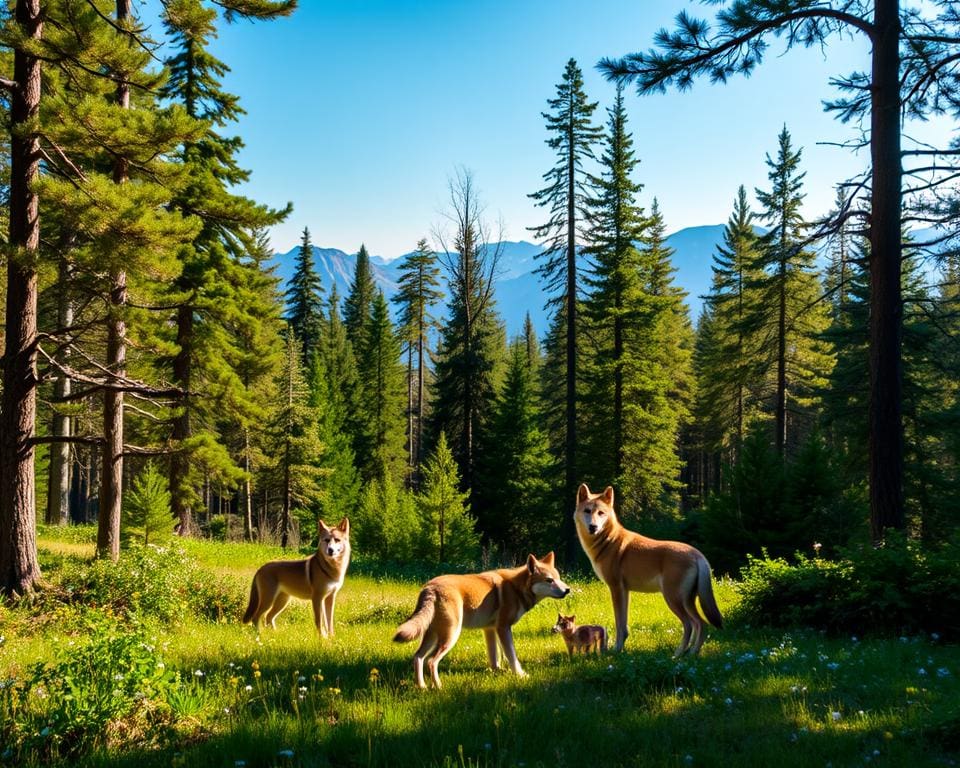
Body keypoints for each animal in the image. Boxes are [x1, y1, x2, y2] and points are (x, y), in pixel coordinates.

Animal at [393, 552, 570, 688]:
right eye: (549, 580)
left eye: (559, 578)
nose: (568, 590)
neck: (516, 588)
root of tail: (430, 588)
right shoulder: (503, 628)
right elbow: (512, 656)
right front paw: (520, 675)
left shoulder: (491, 629)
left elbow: (496, 657)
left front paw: (498, 671)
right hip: (450, 637)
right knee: (431, 661)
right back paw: (438, 687)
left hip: (432, 637)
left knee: (418, 657)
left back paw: (422, 686)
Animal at [575, 484, 723, 656]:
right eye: (587, 511)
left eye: (601, 513)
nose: (593, 527)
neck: (608, 542)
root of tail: (697, 555)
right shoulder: (625, 591)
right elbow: (624, 625)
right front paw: (621, 648)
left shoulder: (616, 588)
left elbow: (618, 624)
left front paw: (616, 650)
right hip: (688, 601)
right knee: (702, 624)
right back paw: (691, 653)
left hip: (673, 599)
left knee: (690, 625)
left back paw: (678, 654)